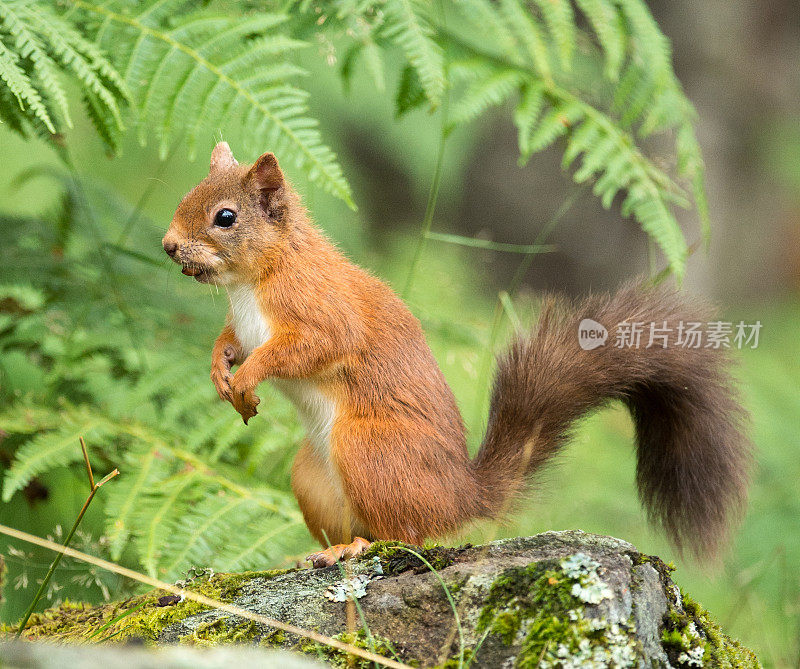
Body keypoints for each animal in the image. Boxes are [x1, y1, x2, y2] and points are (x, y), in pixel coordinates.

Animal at [161, 144, 752, 568]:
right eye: (187, 193)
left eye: (225, 217)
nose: (167, 245)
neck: (253, 281)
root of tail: (460, 496)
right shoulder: (241, 324)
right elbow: (228, 343)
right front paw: (220, 372)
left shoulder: (322, 312)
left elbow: (311, 347)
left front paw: (248, 379)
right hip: (312, 475)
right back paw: (322, 550)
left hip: (367, 448)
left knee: (406, 536)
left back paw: (355, 549)